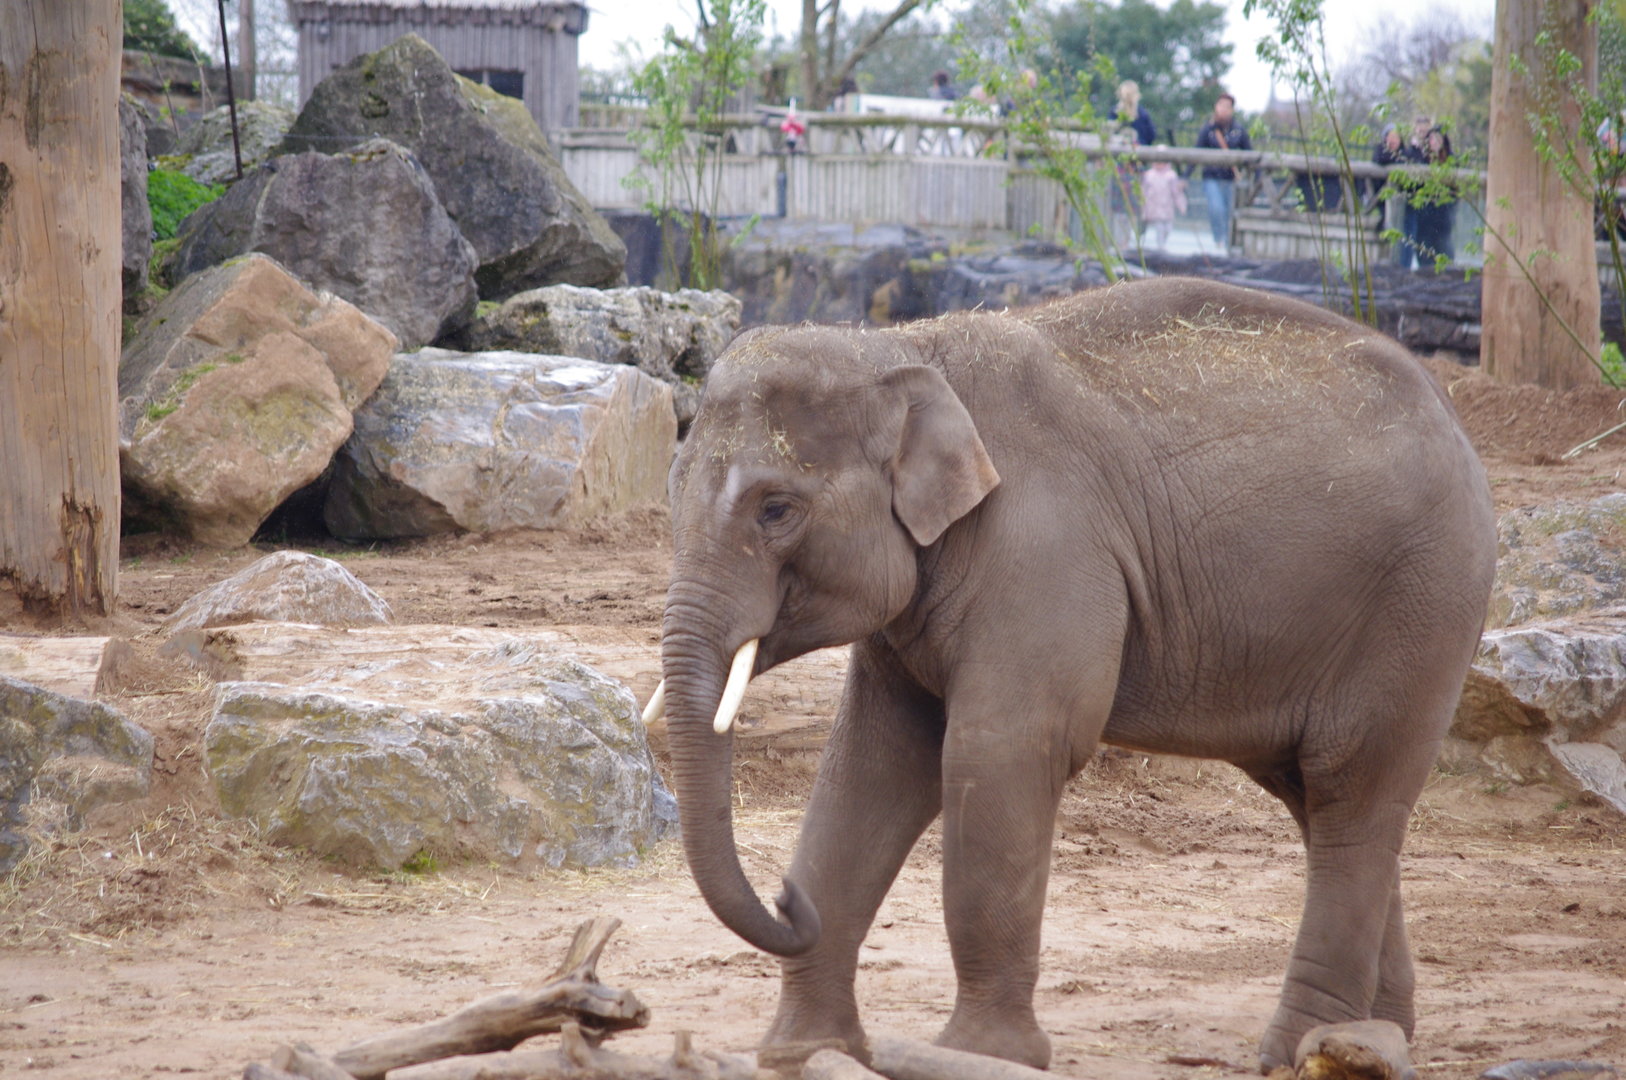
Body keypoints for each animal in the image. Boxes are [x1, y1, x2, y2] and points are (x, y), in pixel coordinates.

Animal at [646, 277, 1497, 1071]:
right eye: (670, 485)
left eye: (776, 510)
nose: (787, 900)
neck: (902, 348)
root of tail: (1456, 418)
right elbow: (871, 765)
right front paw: (801, 1053)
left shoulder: (1042, 543)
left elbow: (1001, 751)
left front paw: (980, 1056)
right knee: (1318, 799)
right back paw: (1374, 1040)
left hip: (1421, 605)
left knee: (1352, 789)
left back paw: (1297, 1050)